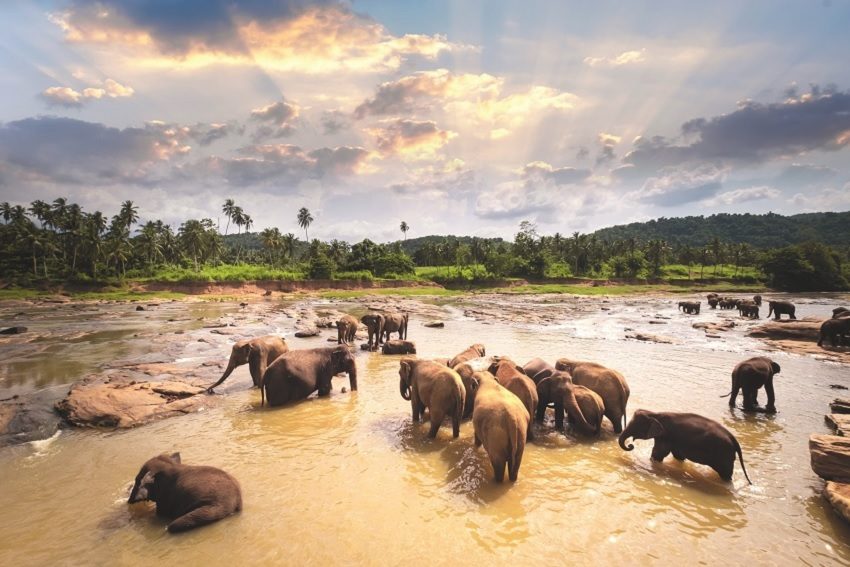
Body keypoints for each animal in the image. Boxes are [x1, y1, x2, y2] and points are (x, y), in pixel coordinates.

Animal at [616, 408, 748, 484]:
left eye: (635, 426)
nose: (631, 445)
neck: (655, 413)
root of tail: (733, 439)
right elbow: (678, 456)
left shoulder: (666, 436)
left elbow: (658, 454)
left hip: (724, 455)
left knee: (726, 473)